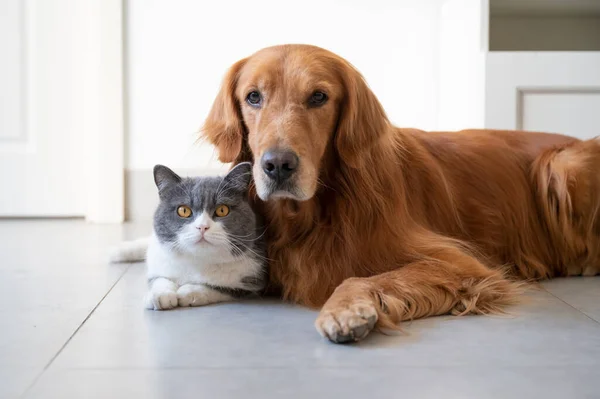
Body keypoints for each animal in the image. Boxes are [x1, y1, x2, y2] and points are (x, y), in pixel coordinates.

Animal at [113, 163, 268, 312]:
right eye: (183, 210)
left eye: (222, 210)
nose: (202, 227)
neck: (197, 260)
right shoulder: (159, 262)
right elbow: (159, 279)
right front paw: (160, 295)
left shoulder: (253, 280)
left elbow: (221, 287)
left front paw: (188, 291)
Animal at [203, 43, 600, 344]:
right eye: (253, 97)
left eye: (318, 97)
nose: (278, 165)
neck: (317, 211)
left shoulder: (460, 263)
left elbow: (362, 277)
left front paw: (345, 308)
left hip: (562, 165)